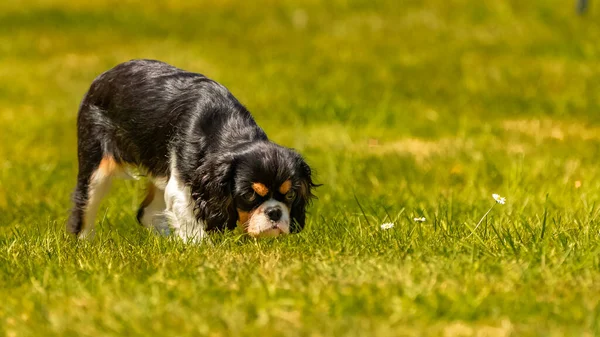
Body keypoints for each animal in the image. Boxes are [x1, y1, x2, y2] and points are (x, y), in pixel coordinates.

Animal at [67, 59, 318, 240]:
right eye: (248, 195)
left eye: (291, 194)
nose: (274, 212)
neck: (228, 128)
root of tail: (102, 77)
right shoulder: (182, 185)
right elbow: (191, 223)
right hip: (96, 168)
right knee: (83, 209)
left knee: (146, 213)